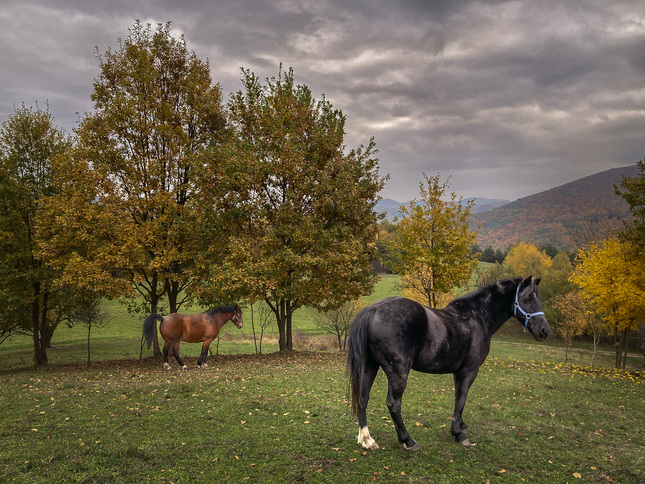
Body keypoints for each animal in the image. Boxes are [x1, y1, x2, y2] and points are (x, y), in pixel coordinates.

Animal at [348, 278, 548, 452]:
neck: (476, 318)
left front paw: (461, 426)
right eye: (527, 299)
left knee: (363, 399)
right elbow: (461, 399)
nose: (544, 330)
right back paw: (407, 440)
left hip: (370, 366)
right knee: (394, 404)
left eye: (539, 299)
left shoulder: (458, 372)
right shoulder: (469, 370)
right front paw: (458, 434)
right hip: (398, 372)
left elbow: (458, 398)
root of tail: (373, 309)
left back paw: (367, 440)